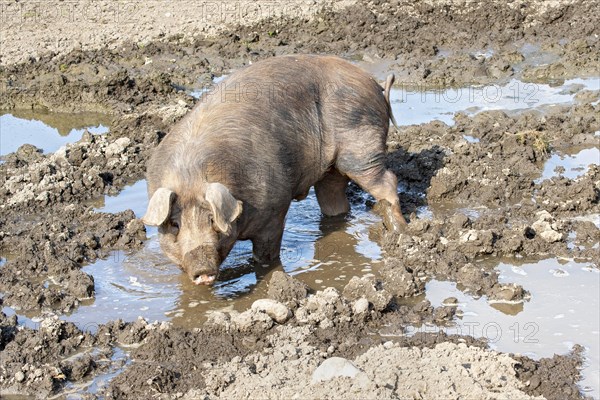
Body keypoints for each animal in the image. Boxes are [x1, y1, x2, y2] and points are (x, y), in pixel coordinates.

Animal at [144, 54, 408, 284]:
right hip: (332, 168)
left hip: (361, 149)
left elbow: (266, 254)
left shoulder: (274, 210)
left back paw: (400, 232)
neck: (192, 175)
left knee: (388, 182)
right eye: (175, 224)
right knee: (334, 197)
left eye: (212, 220)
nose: (202, 270)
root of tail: (374, 84)